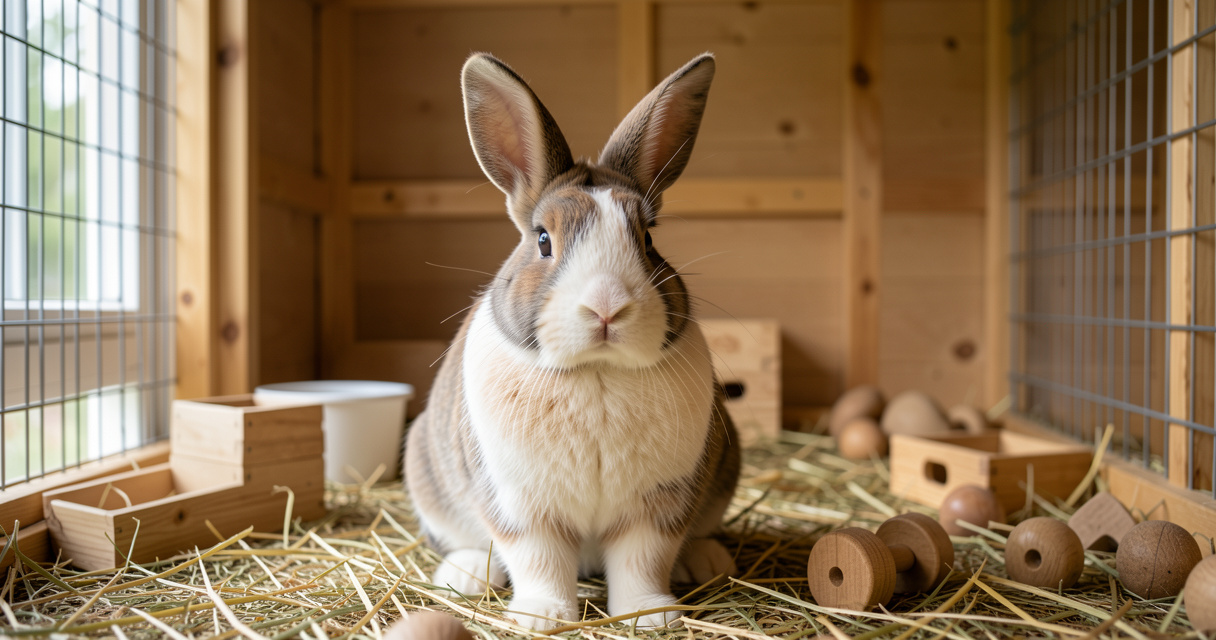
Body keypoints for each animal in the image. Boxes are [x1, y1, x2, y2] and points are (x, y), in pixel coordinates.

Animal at [404, 51, 740, 631]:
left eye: (648, 239)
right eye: (543, 240)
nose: (607, 307)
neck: (598, 371)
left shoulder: (658, 504)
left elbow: (641, 559)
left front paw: (650, 617)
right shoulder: (521, 506)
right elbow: (538, 559)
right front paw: (542, 618)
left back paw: (707, 559)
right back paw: (465, 574)